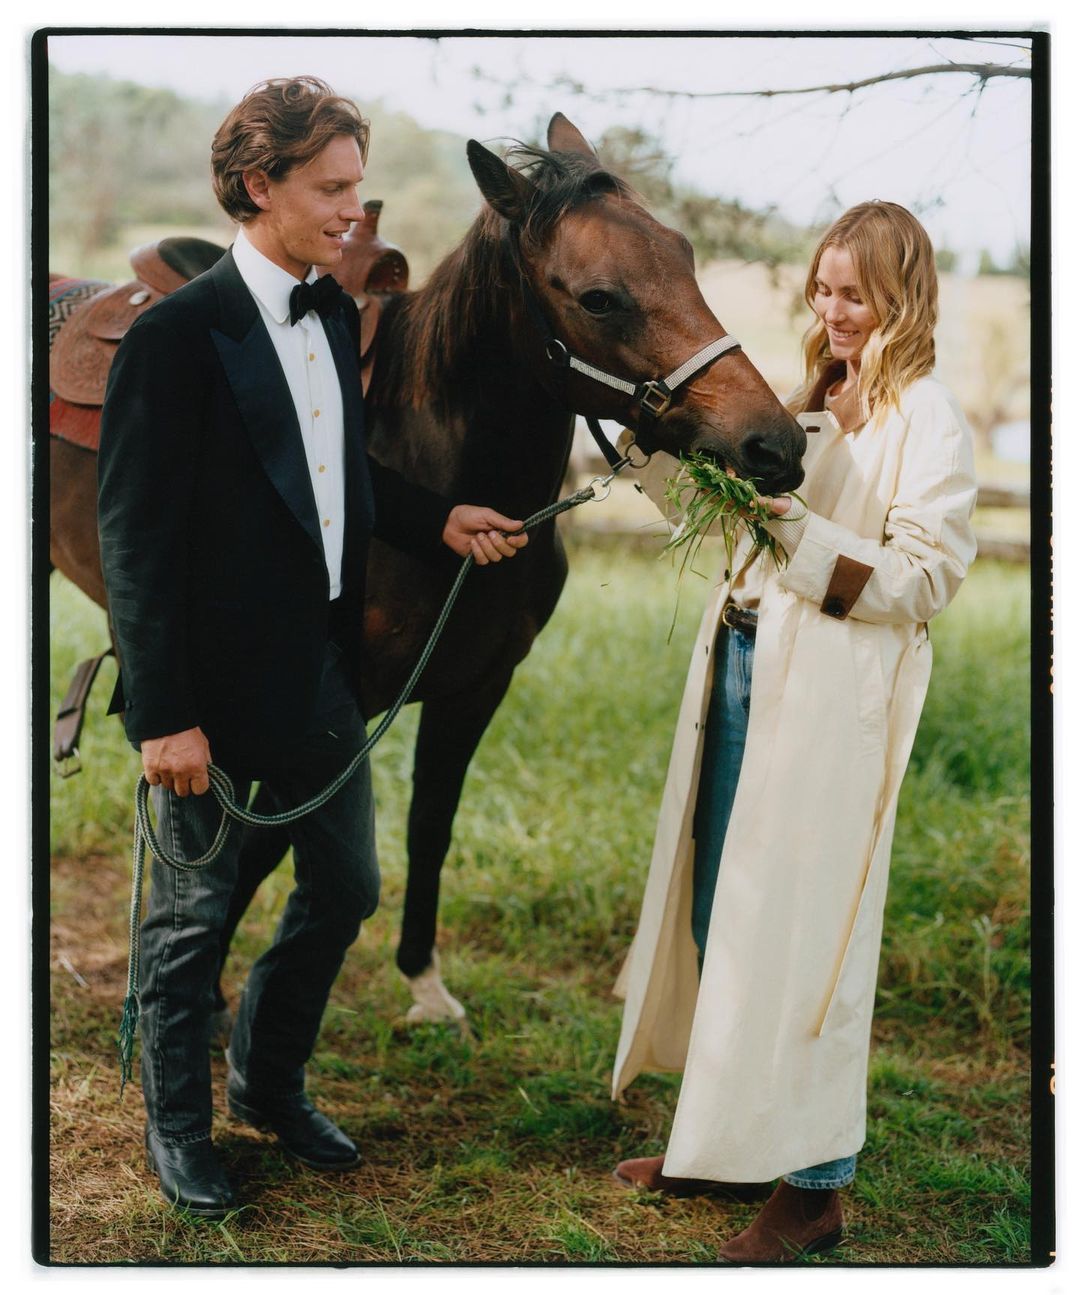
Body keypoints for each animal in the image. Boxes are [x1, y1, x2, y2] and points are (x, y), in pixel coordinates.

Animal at [49, 113, 805, 1026]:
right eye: (598, 297)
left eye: (685, 254)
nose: (774, 444)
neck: (436, 463)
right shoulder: (318, 711)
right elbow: (265, 843)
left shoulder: (473, 689)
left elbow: (429, 823)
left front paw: (422, 979)